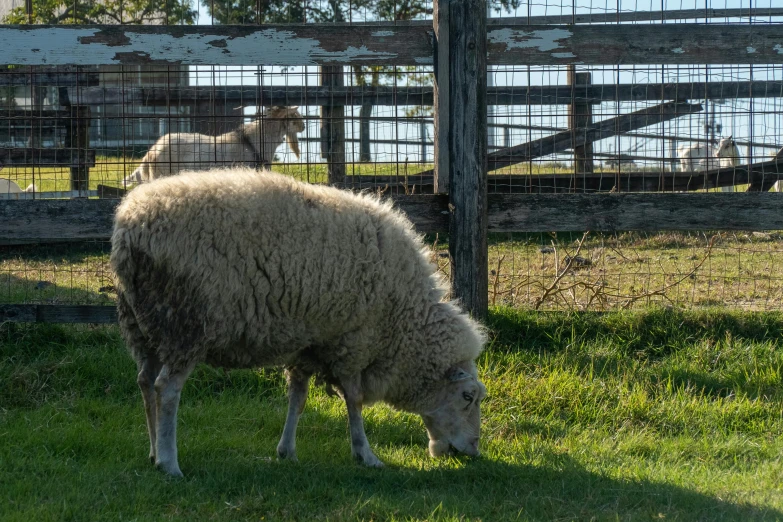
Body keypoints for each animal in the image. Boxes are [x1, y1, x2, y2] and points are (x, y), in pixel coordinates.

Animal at [110, 168, 486, 476]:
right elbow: (354, 401)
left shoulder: (309, 341)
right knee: (166, 389)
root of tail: (131, 225)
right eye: (468, 396)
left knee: (145, 382)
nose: (473, 451)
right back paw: (169, 462)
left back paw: (153, 451)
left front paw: (287, 450)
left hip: (142, 325)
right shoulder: (353, 341)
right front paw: (365, 454)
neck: (403, 318)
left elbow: (299, 397)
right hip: (183, 323)